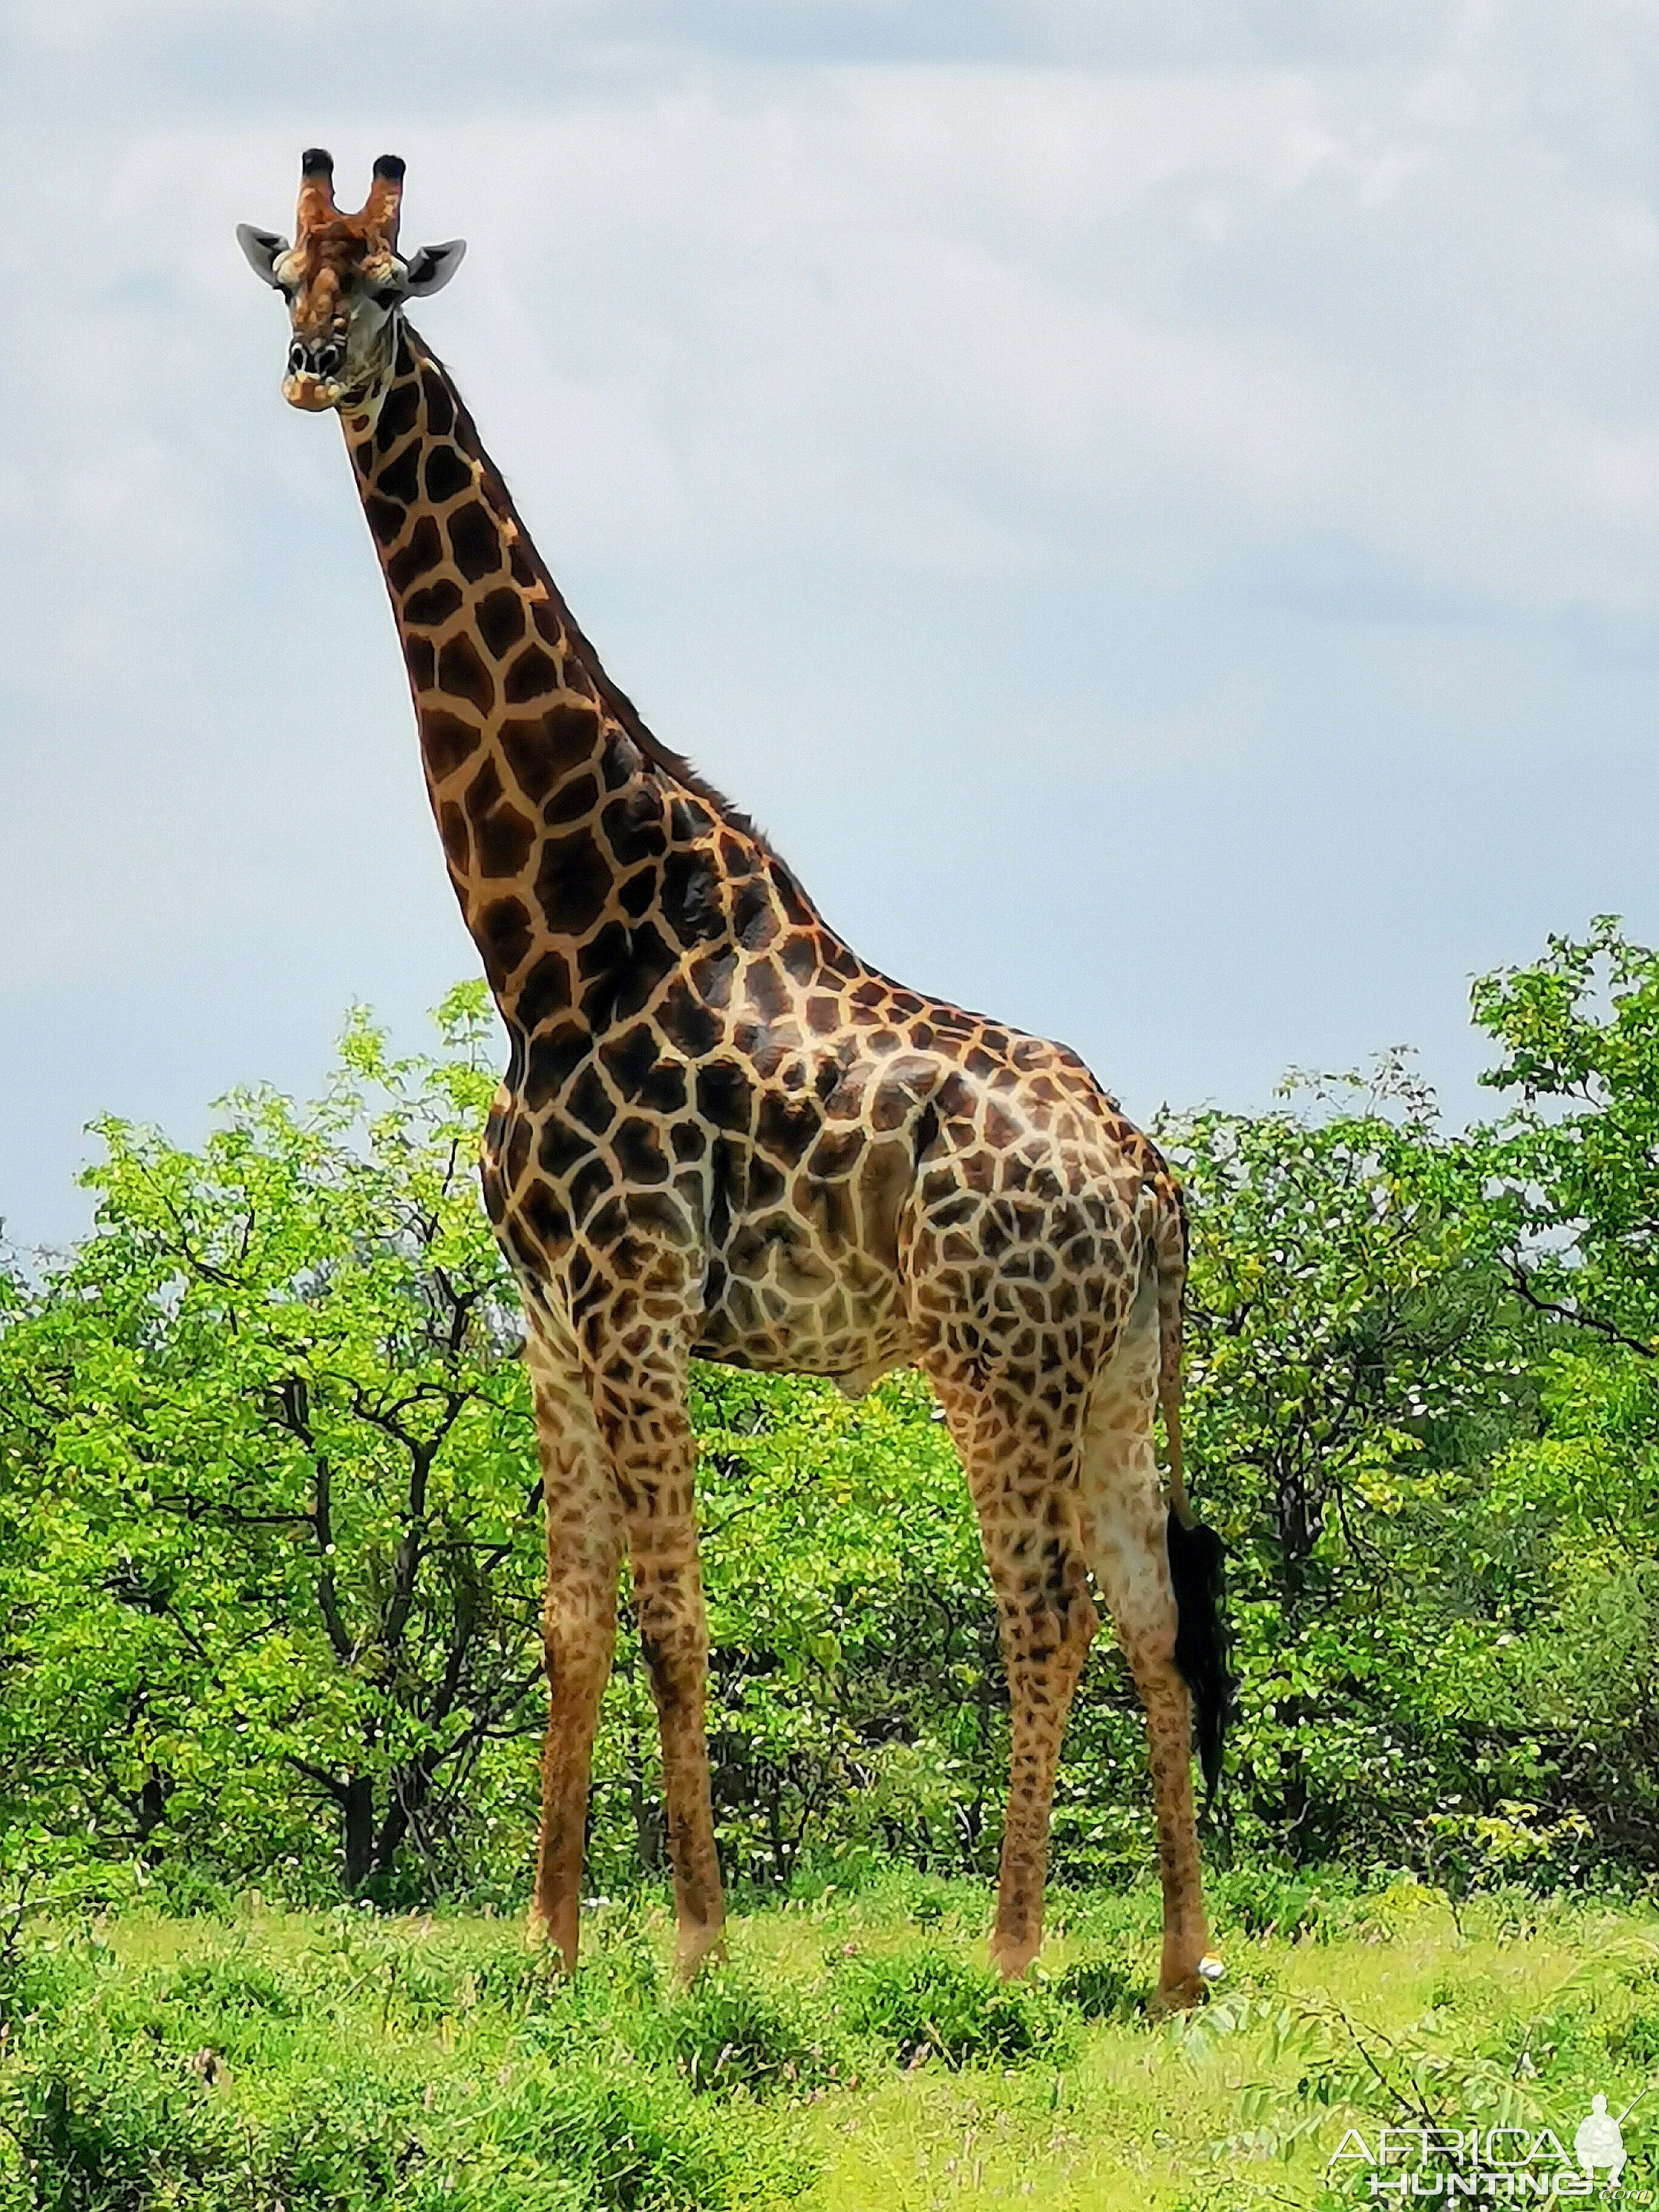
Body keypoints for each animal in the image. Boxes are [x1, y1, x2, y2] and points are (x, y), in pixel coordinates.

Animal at [243, 142, 1238, 2008]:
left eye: (395, 284)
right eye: (289, 279)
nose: (313, 368)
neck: (553, 930)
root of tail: (1146, 1183)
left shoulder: (639, 1298)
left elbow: (672, 1614)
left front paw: (697, 1950)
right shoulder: (550, 1315)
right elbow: (568, 1620)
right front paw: (552, 1948)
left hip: (994, 1358)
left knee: (1042, 1607)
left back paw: (1008, 1957)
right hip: (1124, 1362)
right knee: (1150, 1611)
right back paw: (1176, 1968)